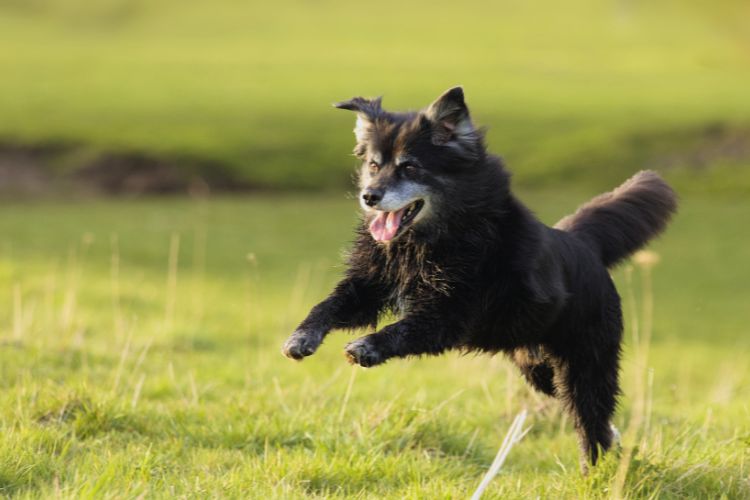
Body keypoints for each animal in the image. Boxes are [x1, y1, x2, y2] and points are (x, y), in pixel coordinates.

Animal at [280, 88, 680, 466]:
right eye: (374, 165)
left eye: (410, 167)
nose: (369, 196)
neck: (425, 241)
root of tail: (583, 244)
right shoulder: (369, 286)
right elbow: (327, 306)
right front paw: (300, 339)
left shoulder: (449, 314)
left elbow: (402, 329)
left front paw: (366, 347)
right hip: (537, 368)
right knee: (594, 416)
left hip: (583, 363)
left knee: (591, 419)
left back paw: (596, 470)